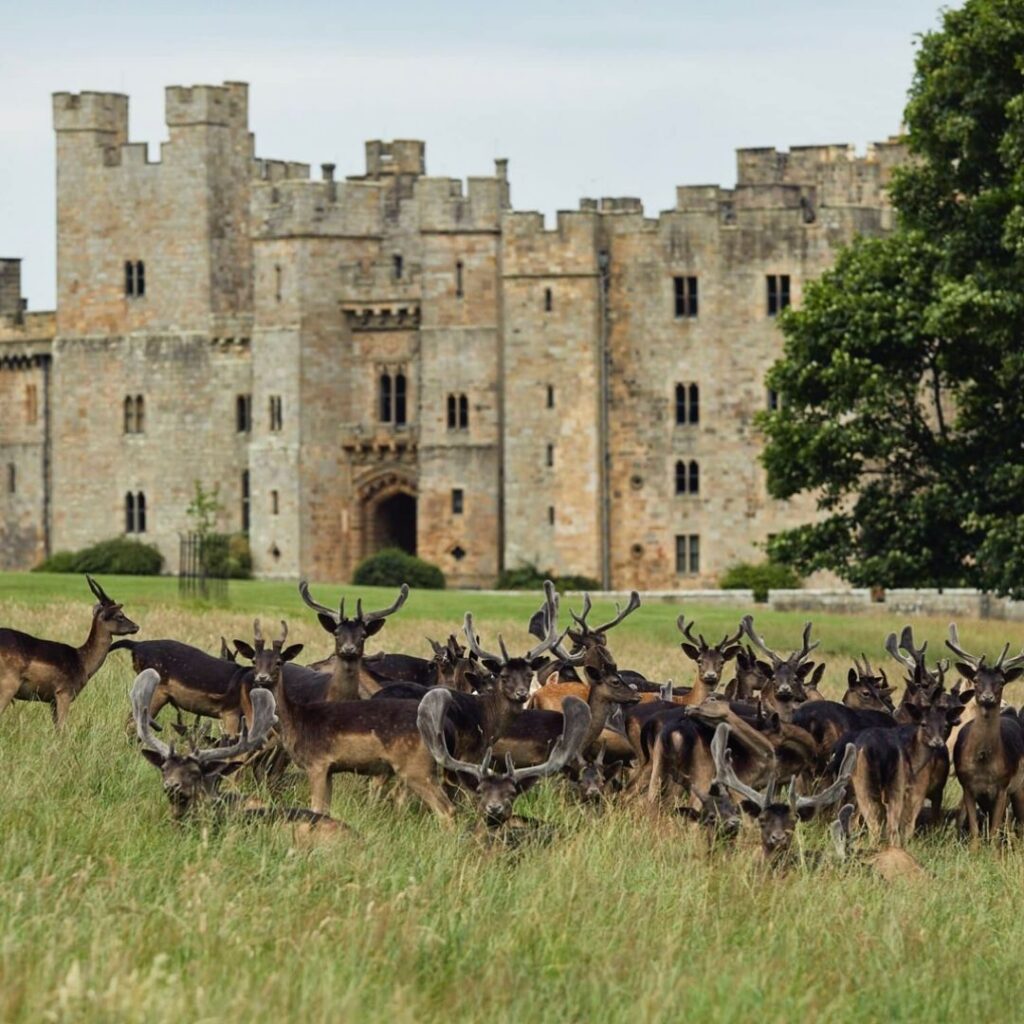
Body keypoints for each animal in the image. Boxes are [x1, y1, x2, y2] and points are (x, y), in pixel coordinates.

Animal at [0, 575, 139, 730]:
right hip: (8, 683)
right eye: (120, 615)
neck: (83, 663)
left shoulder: (52, 701)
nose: (136, 626)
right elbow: (62, 729)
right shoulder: (64, 693)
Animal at [946, 624, 1024, 842]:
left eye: (1002, 681)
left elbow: (995, 830)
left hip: (1019, 786)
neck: (983, 760)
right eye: (976, 679)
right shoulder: (968, 787)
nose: (987, 697)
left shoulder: (1002, 788)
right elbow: (973, 829)